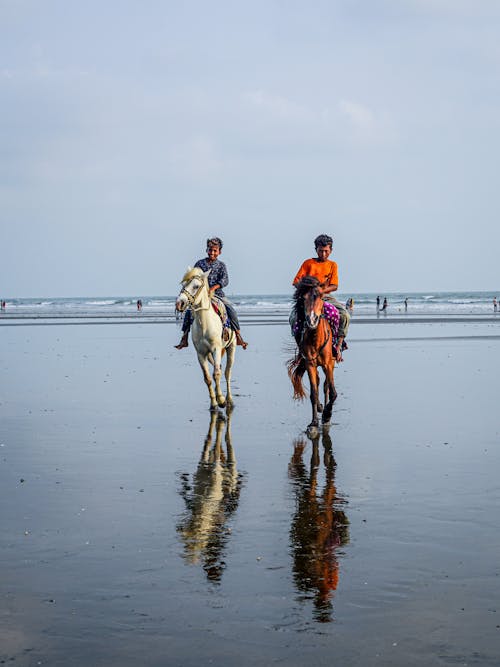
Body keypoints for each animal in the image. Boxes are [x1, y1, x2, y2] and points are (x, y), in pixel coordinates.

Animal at [175, 268, 237, 410]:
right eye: (183, 285)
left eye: (196, 286)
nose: (179, 303)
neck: (205, 323)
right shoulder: (201, 353)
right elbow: (208, 378)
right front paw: (214, 403)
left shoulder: (216, 349)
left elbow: (217, 374)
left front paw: (221, 400)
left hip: (231, 348)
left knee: (227, 372)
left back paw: (229, 400)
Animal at [288, 278, 338, 430]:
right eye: (303, 298)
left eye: (321, 296)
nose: (311, 320)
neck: (316, 339)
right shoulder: (310, 364)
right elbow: (313, 393)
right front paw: (314, 422)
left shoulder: (328, 364)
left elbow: (333, 392)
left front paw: (327, 415)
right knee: (318, 381)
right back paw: (321, 408)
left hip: (331, 363)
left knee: (326, 385)